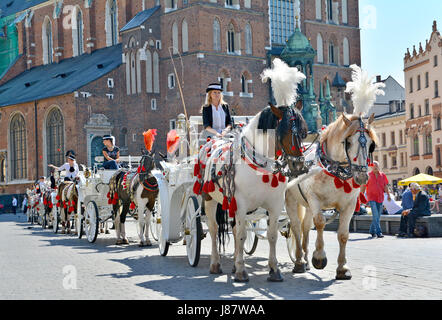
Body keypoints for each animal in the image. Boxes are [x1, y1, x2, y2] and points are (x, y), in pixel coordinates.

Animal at [195, 58, 310, 282]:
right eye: (283, 132)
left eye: (304, 131)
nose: (298, 165)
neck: (261, 169)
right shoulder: (241, 203)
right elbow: (240, 235)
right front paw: (241, 271)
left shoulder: (274, 205)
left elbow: (271, 235)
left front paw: (274, 270)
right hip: (209, 199)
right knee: (213, 229)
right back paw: (216, 264)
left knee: (232, 228)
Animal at [286, 65, 384, 280]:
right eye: (348, 142)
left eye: (371, 145)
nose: (362, 176)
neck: (335, 171)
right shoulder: (314, 199)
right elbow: (321, 223)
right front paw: (319, 258)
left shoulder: (349, 204)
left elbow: (343, 234)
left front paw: (342, 268)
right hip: (292, 200)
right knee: (296, 227)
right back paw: (299, 261)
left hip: (305, 204)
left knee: (305, 227)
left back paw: (305, 260)